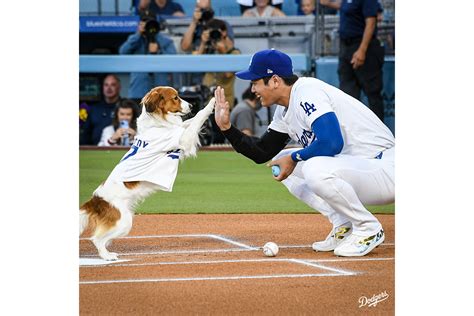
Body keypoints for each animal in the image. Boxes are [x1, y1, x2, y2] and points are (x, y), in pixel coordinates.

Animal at [80, 86, 216, 260]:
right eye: (175, 97)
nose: (192, 106)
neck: (156, 124)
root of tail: (95, 200)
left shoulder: (179, 131)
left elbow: (187, 122)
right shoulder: (183, 139)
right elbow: (197, 118)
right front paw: (212, 102)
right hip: (124, 221)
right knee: (97, 239)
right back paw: (107, 256)